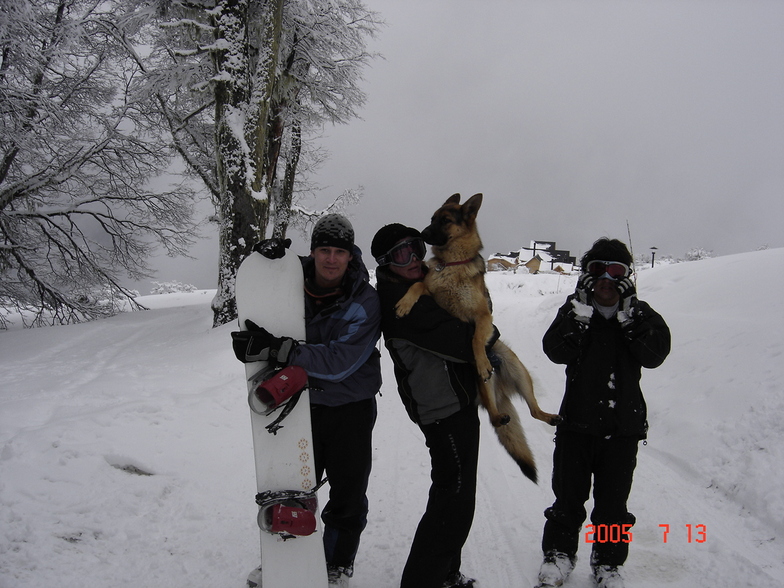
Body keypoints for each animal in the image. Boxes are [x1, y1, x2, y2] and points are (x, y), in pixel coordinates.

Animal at [398, 193, 556, 482]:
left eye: (445, 221)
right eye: (431, 218)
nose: (422, 233)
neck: (451, 264)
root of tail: (501, 387)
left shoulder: (483, 318)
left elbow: (474, 339)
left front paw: (482, 359)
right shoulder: (432, 292)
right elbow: (418, 283)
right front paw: (404, 303)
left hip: (519, 373)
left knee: (532, 409)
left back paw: (548, 415)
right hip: (486, 387)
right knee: (495, 417)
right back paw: (501, 413)